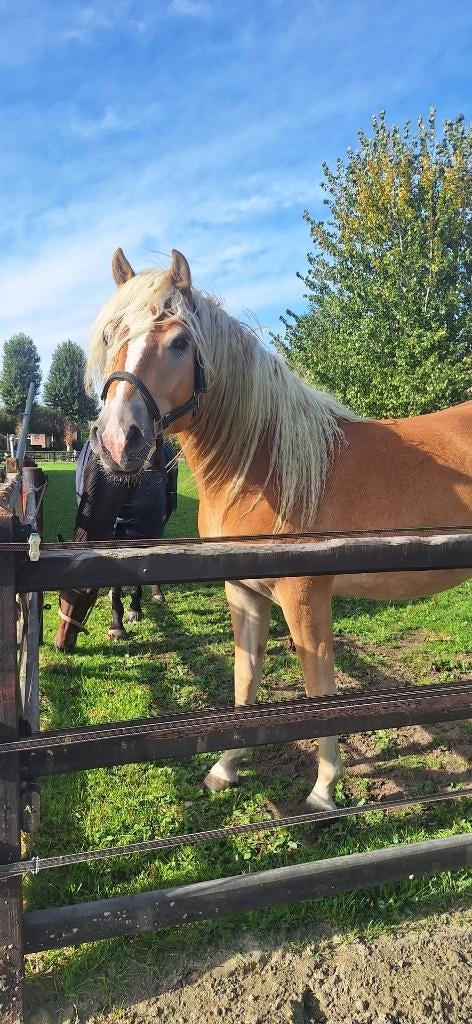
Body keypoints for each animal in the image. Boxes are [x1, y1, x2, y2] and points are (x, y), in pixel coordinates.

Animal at [55, 436, 178, 652]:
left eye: (88, 597)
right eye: (60, 594)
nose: (61, 644)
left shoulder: (144, 533)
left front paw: (133, 610)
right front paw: (116, 625)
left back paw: (157, 593)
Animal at [85, 246, 472, 811]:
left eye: (180, 342)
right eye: (112, 334)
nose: (118, 440)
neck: (267, 468)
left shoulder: (304, 597)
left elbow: (318, 691)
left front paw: (324, 790)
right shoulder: (244, 590)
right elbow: (245, 680)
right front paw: (225, 767)